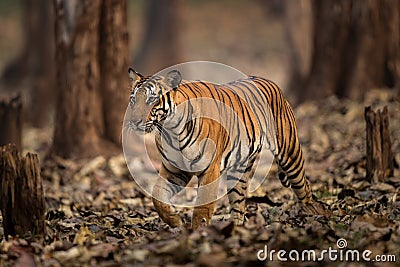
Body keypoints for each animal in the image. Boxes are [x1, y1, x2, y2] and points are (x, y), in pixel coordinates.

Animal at [126, 68, 314, 229]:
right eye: (133, 100)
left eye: (151, 99)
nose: (134, 121)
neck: (170, 130)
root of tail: (271, 82)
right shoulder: (174, 169)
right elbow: (158, 197)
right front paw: (176, 222)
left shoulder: (210, 169)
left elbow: (202, 208)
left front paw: (198, 233)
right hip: (239, 169)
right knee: (239, 201)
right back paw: (235, 227)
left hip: (290, 153)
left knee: (304, 186)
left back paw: (311, 215)